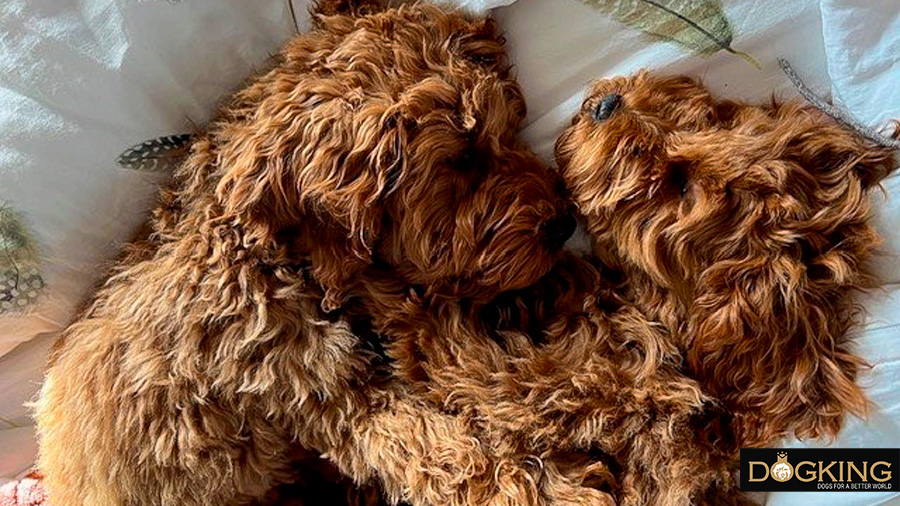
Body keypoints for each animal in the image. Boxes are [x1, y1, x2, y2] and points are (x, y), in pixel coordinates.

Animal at [35, 0, 572, 506]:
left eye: (511, 126)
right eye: (462, 158)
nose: (565, 222)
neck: (266, 249)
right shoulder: (334, 395)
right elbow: (453, 458)